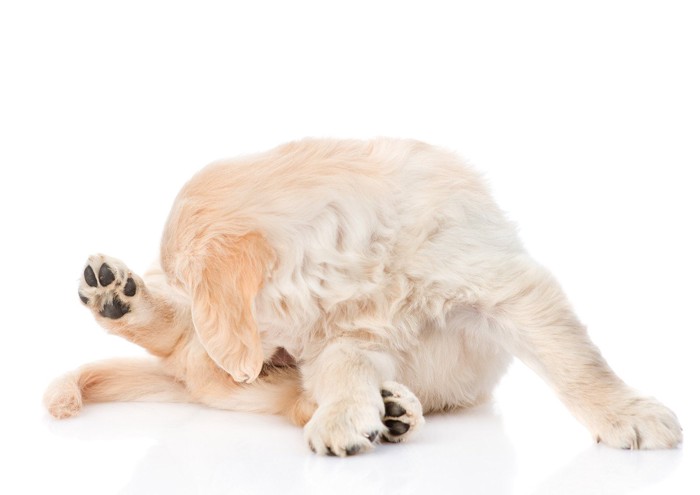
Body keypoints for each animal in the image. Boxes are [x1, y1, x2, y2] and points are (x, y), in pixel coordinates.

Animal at [43, 138, 680, 456]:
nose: (241, 364)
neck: (369, 262)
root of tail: (186, 376)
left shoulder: (504, 285)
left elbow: (575, 362)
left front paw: (626, 414)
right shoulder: (341, 341)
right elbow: (343, 375)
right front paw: (347, 414)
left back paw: (397, 412)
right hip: (207, 368)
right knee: (184, 344)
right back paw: (118, 295)